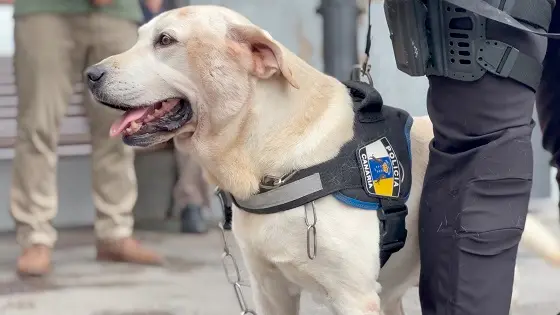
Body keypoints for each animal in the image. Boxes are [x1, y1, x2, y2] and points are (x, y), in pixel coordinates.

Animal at [85, 5, 556, 315]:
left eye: (165, 41)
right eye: (140, 37)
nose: (90, 75)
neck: (272, 160)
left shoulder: (354, 296)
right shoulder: (269, 290)